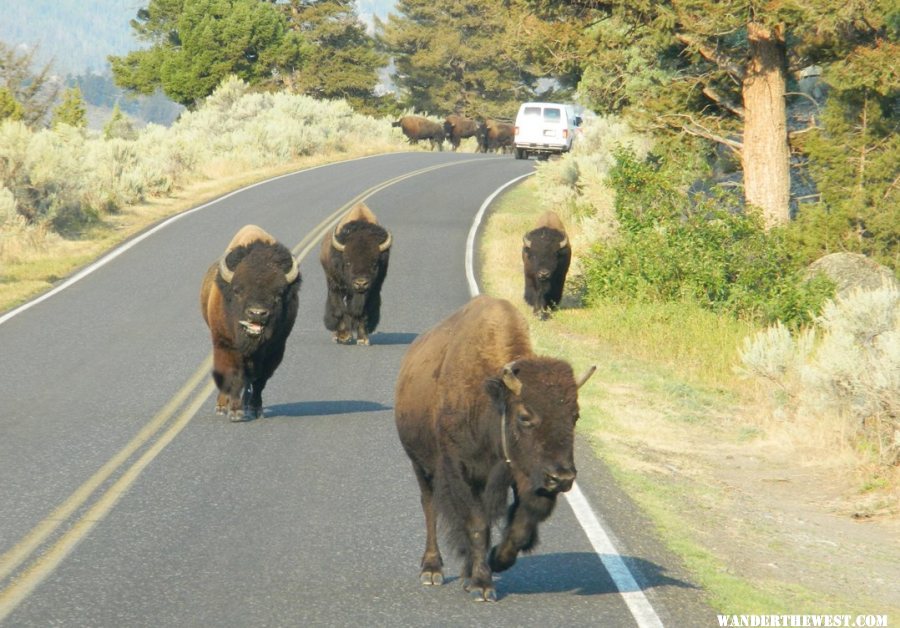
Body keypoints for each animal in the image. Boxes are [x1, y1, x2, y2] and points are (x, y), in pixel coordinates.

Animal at [200, 223, 302, 420]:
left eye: (279, 294)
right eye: (238, 290)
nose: (257, 313)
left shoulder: (275, 350)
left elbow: (259, 381)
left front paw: (255, 408)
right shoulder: (227, 345)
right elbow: (234, 375)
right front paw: (235, 411)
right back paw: (222, 406)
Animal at [322, 201, 392, 346]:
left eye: (374, 264)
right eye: (348, 262)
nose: (361, 283)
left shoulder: (372, 290)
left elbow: (363, 313)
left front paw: (363, 339)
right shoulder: (336, 286)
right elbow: (339, 309)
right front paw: (343, 336)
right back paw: (337, 335)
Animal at [396, 296, 596, 600]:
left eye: (575, 416)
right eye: (525, 416)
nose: (562, 478)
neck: (492, 402)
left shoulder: (523, 476)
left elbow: (522, 523)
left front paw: (496, 560)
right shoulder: (460, 472)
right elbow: (477, 524)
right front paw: (482, 585)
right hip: (421, 466)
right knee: (430, 506)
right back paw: (432, 569)